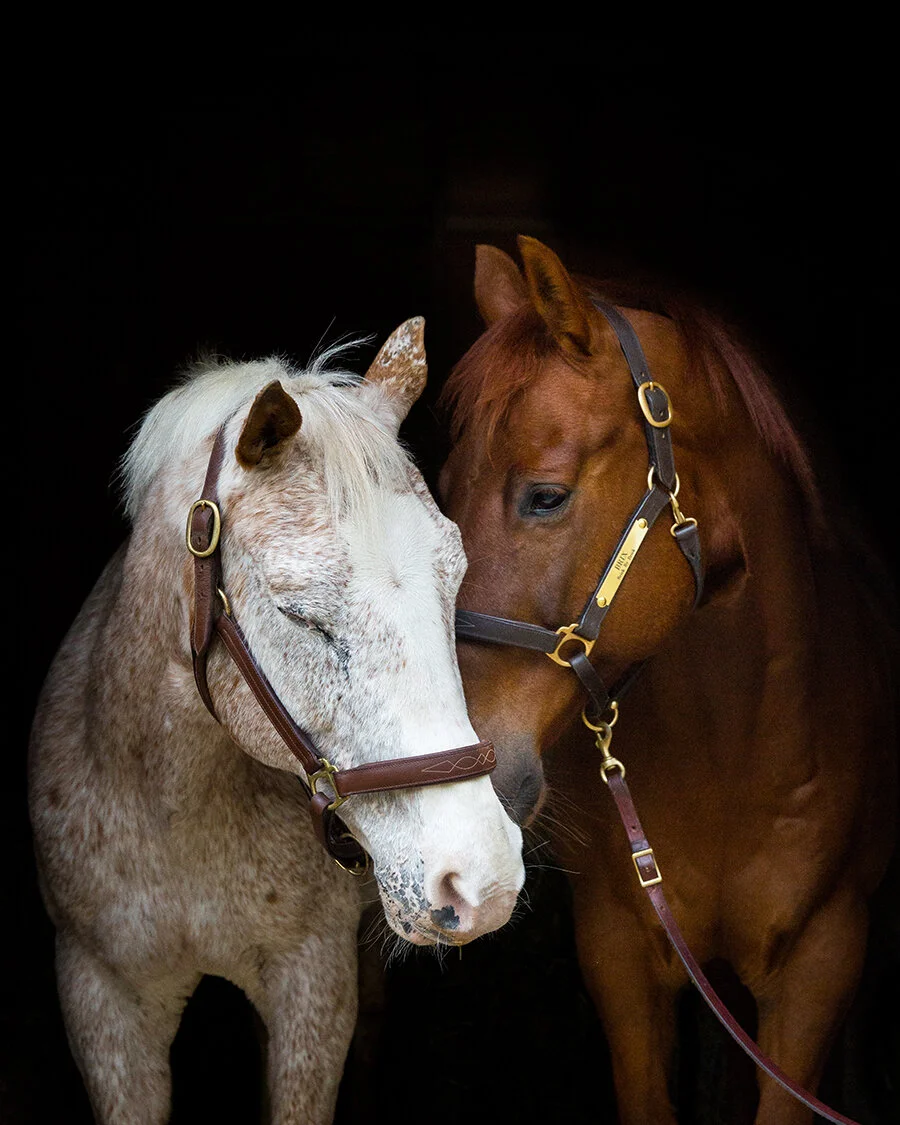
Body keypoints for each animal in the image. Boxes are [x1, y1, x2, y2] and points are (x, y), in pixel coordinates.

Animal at [28, 317, 525, 1125]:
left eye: (454, 581)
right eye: (300, 615)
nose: (483, 878)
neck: (177, 813)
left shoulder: (312, 986)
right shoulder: (102, 996)